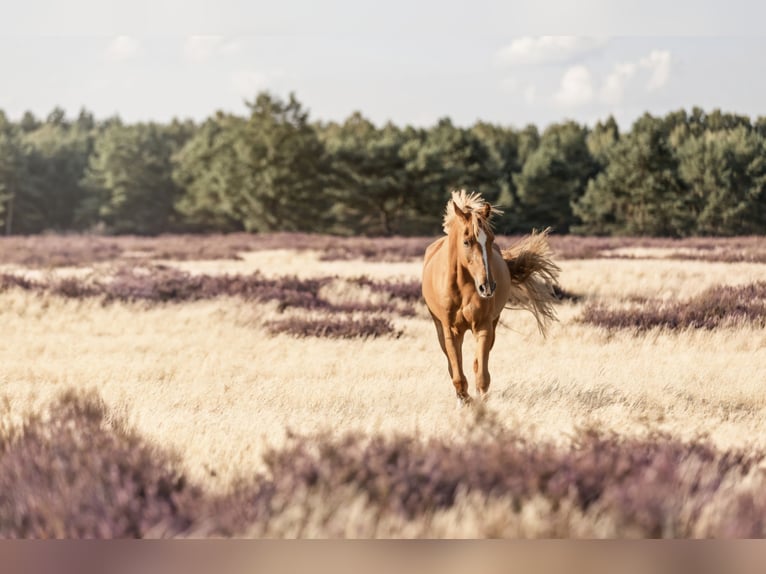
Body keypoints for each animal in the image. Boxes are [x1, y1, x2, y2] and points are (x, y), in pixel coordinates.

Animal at [421, 190, 560, 406]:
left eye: (491, 239)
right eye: (466, 241)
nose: (487, 286)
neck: (462, 287)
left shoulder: (484, 326)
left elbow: (481, 374)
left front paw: (481, 401)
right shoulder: (449, 329)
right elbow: (457, 372)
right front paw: (464, 400)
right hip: (442, 328)